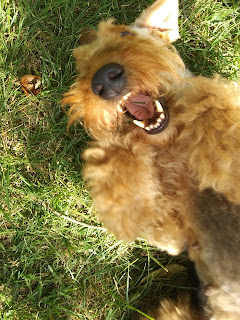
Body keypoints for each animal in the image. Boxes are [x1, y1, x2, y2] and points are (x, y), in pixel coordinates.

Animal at [62, 1, 240, 318]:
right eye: (82, 66)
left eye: (124, 33)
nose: (103, 79)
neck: (174, 143)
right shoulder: (173, 237)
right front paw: (113, 160)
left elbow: (211, 102)